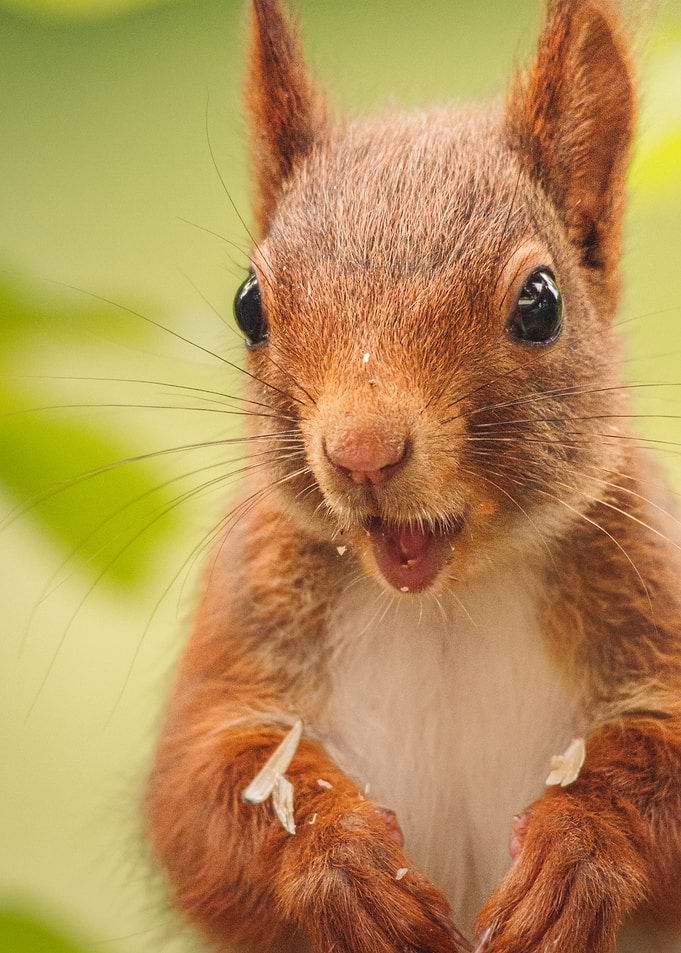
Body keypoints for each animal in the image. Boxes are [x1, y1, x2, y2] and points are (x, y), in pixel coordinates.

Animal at [146, 1, 681, 951]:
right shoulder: (244, 624)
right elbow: (197, 791)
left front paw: (575, 846)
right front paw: (341, 861)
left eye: (540, 303)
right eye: (249, 305)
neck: (444, 604)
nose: (362, 450)